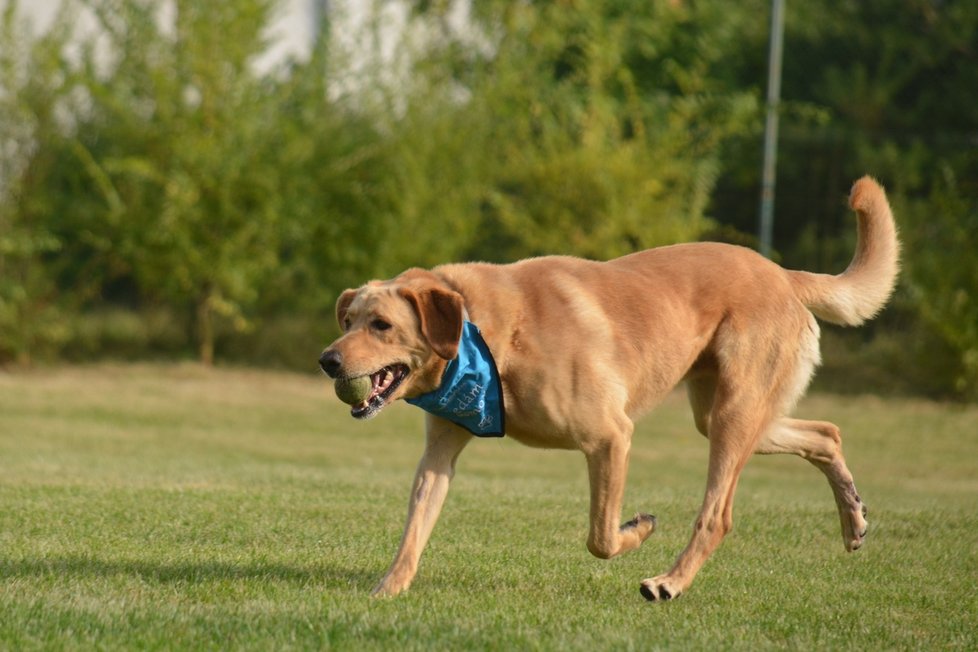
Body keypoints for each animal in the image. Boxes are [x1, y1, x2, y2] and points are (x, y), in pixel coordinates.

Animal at [320, 176, 900, 600]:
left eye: (381, 325)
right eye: (347, 320)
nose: (327, 360)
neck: (483, 336)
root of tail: (783, 274)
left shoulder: (610, 436)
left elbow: (600, 537)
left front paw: (637, 529)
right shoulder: (440, 451)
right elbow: (414, 529)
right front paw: (387, 590)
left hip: (733, 416)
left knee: (717, 517)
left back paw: (669, 583)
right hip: (722, 414)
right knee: (827, 432)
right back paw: (853, 519)